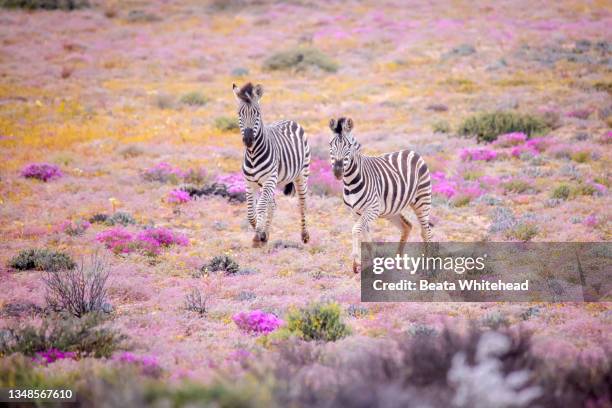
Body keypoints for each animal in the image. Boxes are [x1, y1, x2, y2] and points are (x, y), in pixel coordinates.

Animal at [233, 83, 314, 247]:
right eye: (240, 113)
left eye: (257, 114)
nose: (248, 140)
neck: (252, 154)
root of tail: (290, 121)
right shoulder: (249, 182)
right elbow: (251, 211)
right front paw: (259, 233)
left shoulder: (269, 179)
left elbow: (260, 207)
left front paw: (258, 235)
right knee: (273, 205)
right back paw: (266, 235)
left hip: (301, 175)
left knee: (302, 203)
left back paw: (305, 236)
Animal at [328, 116, 432, 272]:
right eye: (330, 145)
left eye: (349, 146)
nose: (337, 172)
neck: (350, 182)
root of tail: (412, 152)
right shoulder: (355, 212)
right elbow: (365, 235)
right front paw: (371, 263)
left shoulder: (372, 209)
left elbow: (356, 230)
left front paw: (356, 262)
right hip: (391, 210)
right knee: (407, 226)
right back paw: (397, 261)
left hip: (422, 200)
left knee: (426, 231)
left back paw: (429, 266)